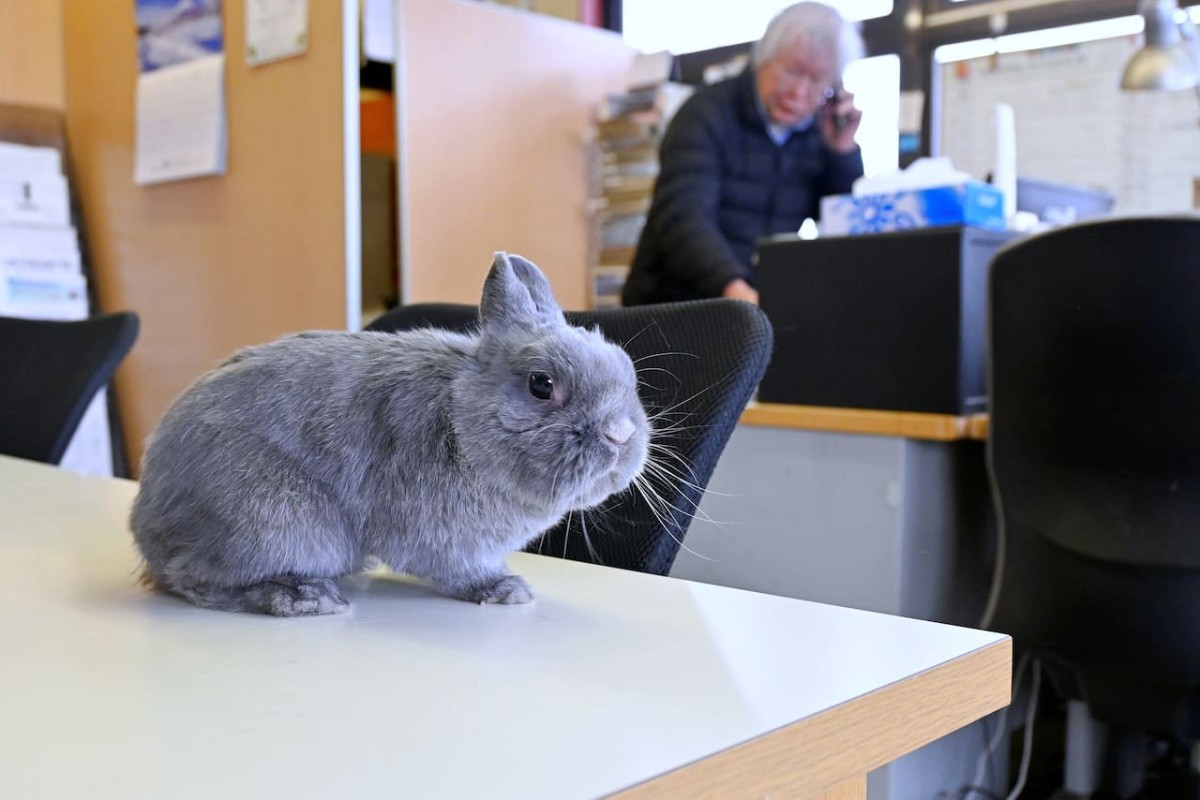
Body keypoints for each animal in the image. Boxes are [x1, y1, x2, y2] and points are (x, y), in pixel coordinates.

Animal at [131, 253, 652, 618]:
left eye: (626, 369)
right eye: (541, 385)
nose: (620, 434)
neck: (459, 418)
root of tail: (148, 529)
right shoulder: (444, 540)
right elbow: (459, 571)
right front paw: (506, 590)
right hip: (274, 525)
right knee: (193, 578)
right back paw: (304, 597)